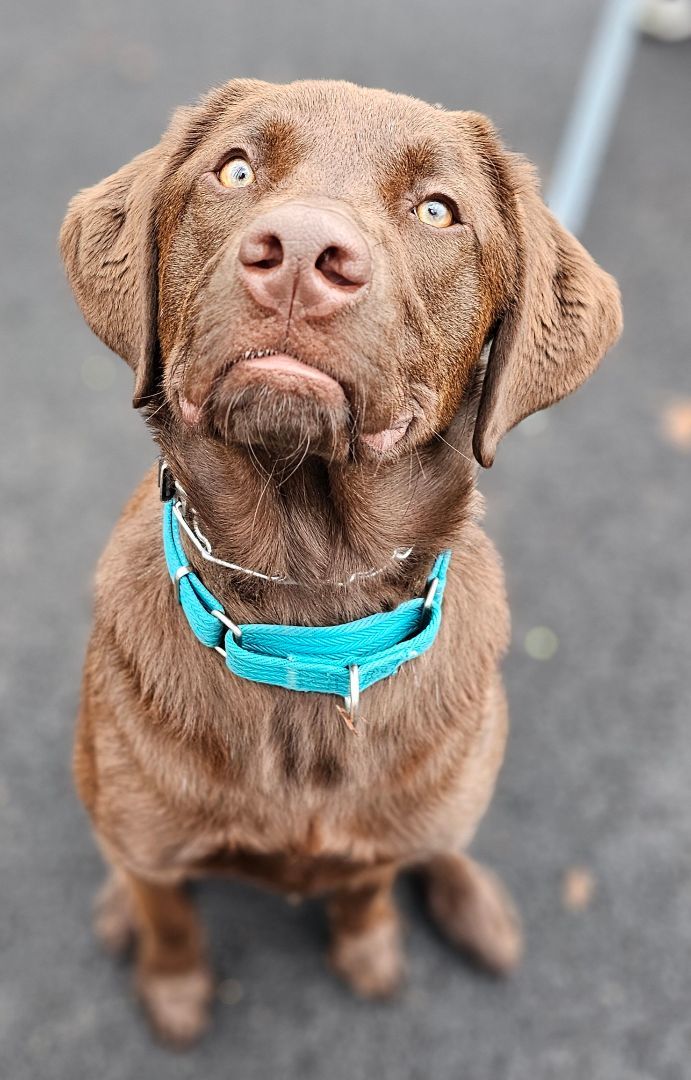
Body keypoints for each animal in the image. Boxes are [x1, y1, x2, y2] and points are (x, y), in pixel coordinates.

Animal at [60, 78, 621, 1045]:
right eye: (235, 169)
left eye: (437, 210)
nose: (298, 255)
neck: (307, 609)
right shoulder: (148, 839)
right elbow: (168, 913)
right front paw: (173, 989)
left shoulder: (380, 841)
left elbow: (367, 886)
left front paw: (367, 955)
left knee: (442, 839)